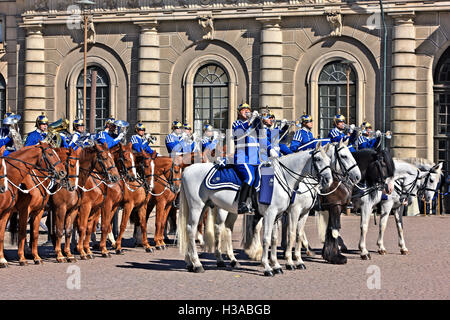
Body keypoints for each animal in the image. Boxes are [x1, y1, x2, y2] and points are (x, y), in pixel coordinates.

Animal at [178, 144, 332, 276]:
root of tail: (187, 169)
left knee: (207, 228)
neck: (282, 178)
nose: (328, 180)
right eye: (318, 159)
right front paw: (269, 267)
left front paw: (277, 265)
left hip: (207, 207)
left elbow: (275, 239)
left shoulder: (279, 215)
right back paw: (198, 264)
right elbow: (269, 238)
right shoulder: (276, 213)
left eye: (329, 160)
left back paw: (195, 262)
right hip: (197, 207)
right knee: (193, 229)